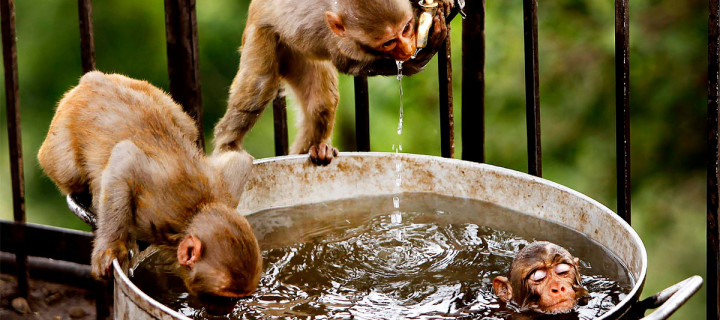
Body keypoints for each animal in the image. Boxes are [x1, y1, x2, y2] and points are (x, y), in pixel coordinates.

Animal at [36, 71, 262, 298]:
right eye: (224, 297)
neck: (194, 211)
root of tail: (93, 79)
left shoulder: (224, 190)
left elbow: (241, 160)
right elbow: (125, 157)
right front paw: (110, 248)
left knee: (186, 125)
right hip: (61, 135)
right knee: (69, 171)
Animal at [211, 0, 456, 165]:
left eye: (406, 28)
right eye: (388, 42)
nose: (407, 48)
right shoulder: (341, 43)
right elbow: (350, 64)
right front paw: (422, 55)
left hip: (297, 54)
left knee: (321, 102)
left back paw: (317, 149)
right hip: (264, 35)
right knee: (259, 87)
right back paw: (227, 147)